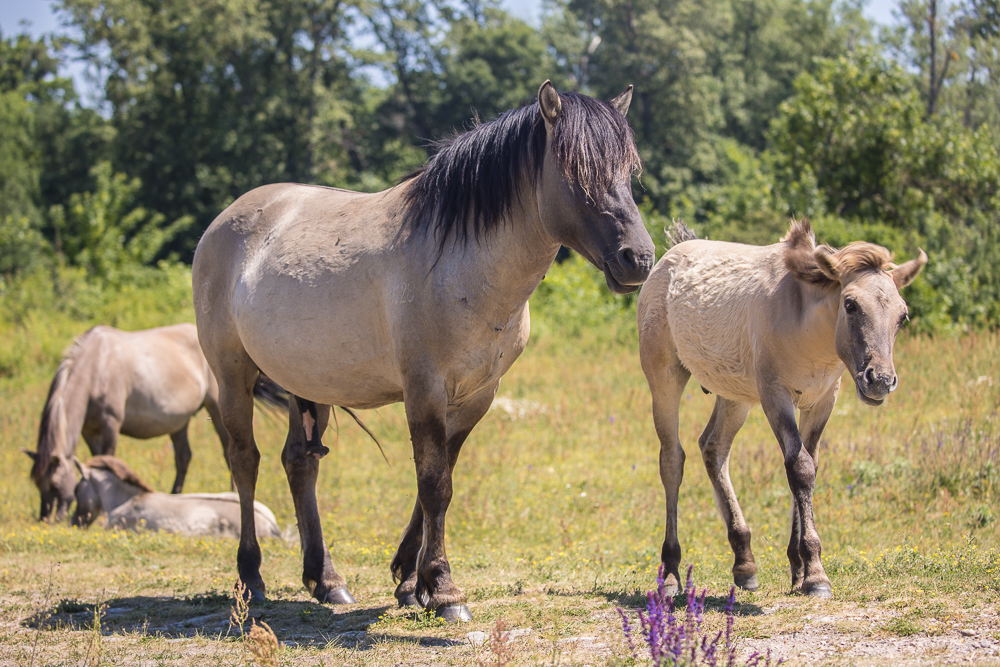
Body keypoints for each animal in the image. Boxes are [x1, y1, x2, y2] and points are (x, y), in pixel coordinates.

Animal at [24, 324, 282, 520]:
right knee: (183, 457)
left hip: (217, 407)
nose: (46, 519)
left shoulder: (111, 424)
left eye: (55, 485)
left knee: (228, 450)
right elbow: (96, 458)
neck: (96, 366)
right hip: (179, 422)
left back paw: (233, 494)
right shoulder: (89, 430)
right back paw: (175, 495)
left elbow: (108, 456)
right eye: (37, 485)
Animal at [193, 79, 656, 620]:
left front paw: (412, 581)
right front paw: (445, 589)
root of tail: (225, 220)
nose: (638, 258)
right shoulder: (425, 390)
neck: (460, 265)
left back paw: (326, 580)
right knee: (244, 461)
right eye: (575, 171)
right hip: (232, 374)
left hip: (306, 380)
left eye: (628, 171)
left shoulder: (475, 396)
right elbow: (435, 485)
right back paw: (250, 577)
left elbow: (437, 481)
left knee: (299, 463)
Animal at [636, 220, 924, 600]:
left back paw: (744, 562)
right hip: (665, 379)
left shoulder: (822, 401)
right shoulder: (775, 396)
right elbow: (799, 468)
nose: (880, 380)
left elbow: (809, 466)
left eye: (902, 315)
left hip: (735, 396)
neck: (805, 326)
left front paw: (799, 567)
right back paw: (670, 572)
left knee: (714, 449)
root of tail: (668, 258)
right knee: (672, 460)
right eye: (850, 304)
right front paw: (815, 574)